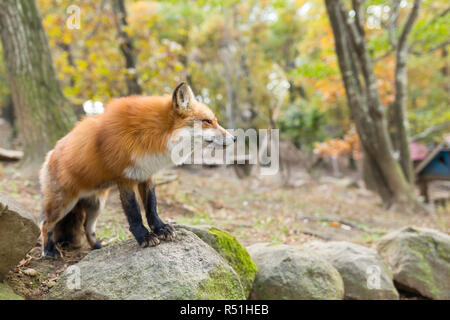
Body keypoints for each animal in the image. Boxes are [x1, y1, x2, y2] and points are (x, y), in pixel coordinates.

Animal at [40, 82, 236, 258]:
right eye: (207, 121)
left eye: (215, 121)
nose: (234, 138)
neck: (149, 134)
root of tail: (50, 153)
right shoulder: (124, 178)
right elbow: (133, 212)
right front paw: (144, 237)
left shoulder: (146, 174)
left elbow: (151, 206)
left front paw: (160, 228)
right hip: (63, 204)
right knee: (45, 224)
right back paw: (49, 250)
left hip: (96, 205)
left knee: (87, 228)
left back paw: (97, 247)